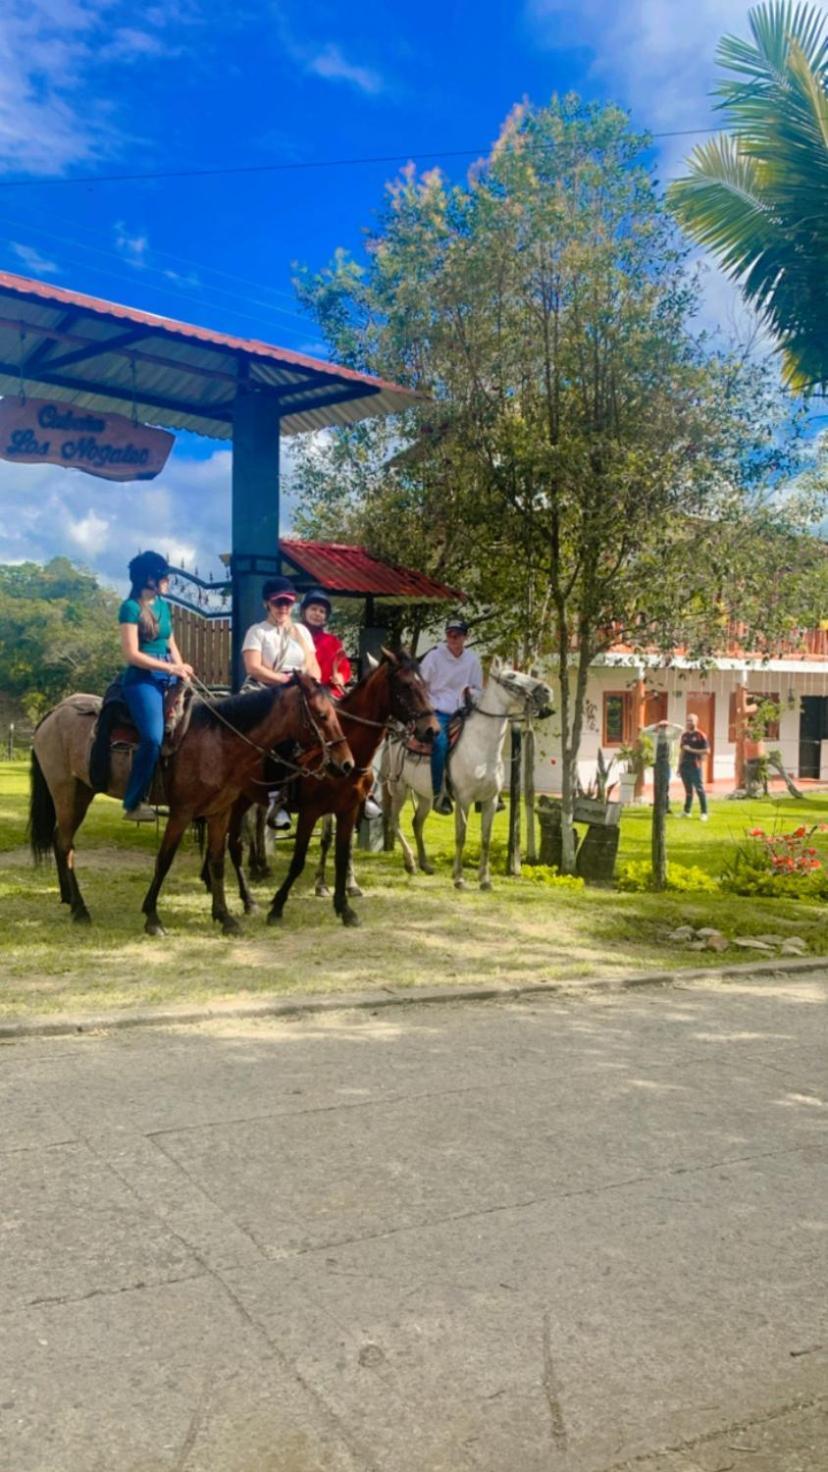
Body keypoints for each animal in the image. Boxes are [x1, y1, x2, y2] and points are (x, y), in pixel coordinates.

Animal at [28, 674, 350, 936]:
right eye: (322, 715)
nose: (346, 764)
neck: (218, 741)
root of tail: (53, 713)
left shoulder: (219, 812)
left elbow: (217, 861)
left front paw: (225, 917)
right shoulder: (182, 813)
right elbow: (164, 860)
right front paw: (153, 918)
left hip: (82, 793)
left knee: (60, 841)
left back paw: (69, 899)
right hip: (66, 793)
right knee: (65, 844)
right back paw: (80, 909)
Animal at [209, 656, 436, 930]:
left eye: (423, 683)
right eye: (405, 686)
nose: (432, 730)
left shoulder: (348, 811)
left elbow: (341, 856)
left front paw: (345, 908)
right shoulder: (310, 812)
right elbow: (298, 861)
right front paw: (277, 907)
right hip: (235, 801)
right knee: (234, 843)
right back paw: (248, 892)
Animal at [383, 662, 551, 889]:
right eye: (511, 676)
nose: (547, 691)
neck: (481, 748)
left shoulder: (489, 801)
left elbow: (485, 838)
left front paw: (485, 880)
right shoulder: (464, 799)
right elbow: (460, 836)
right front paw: (459, 878)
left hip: (425, 796)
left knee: (416, 823)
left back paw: (425, 864)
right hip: (399, 788)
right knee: (394, 821)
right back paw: (410, 863)